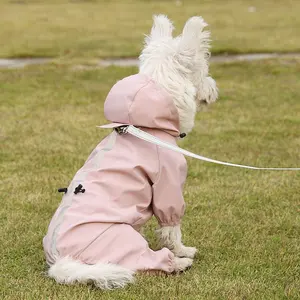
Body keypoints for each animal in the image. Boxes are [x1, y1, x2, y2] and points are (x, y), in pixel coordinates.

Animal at [44, 14, 218, 290]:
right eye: (204, 69)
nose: (214, 90)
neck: (145, 125)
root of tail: (60, 262)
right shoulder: (168, 185)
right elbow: (171, 227)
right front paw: (183, 250)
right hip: (122, 240)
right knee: (148, 262)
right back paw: (179, 263)